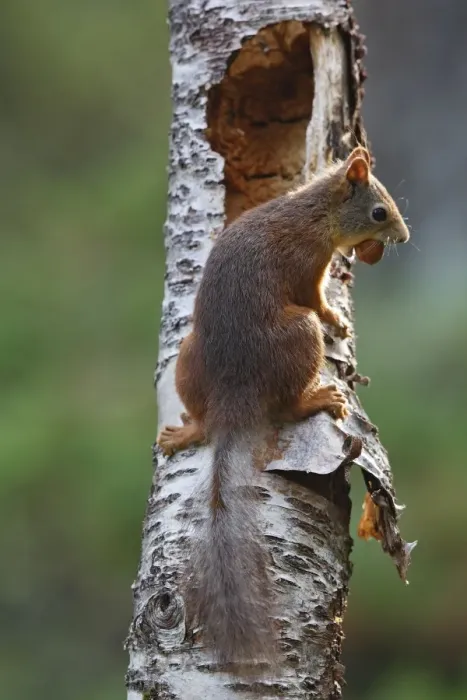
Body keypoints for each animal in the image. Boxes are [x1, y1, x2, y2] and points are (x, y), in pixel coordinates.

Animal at [157, 146, 410, 668]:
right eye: (380, 212)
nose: (403, 236)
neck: (312, 212)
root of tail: (234, 395)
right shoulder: (307, 267)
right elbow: (316, 298)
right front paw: (337, 319)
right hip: (299, 334)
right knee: (288, 403)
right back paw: (319, 397)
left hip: (188, 357)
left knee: (205, 418)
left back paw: (187, 431)